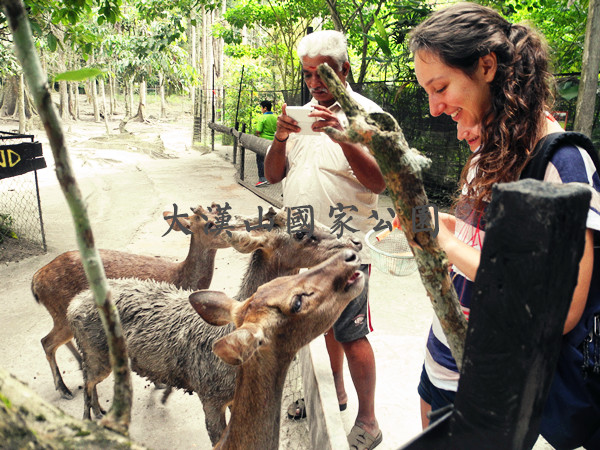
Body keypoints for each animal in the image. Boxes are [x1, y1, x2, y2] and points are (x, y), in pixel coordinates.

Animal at [30, 202, 260, 400]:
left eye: (224, 215)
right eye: (209, 224)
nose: (240, 231)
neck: (181, 278)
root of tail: (36, 281)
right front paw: (161, 384)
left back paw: (79, 365)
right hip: (60, 310)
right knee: (46, 341)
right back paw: (64, 389)